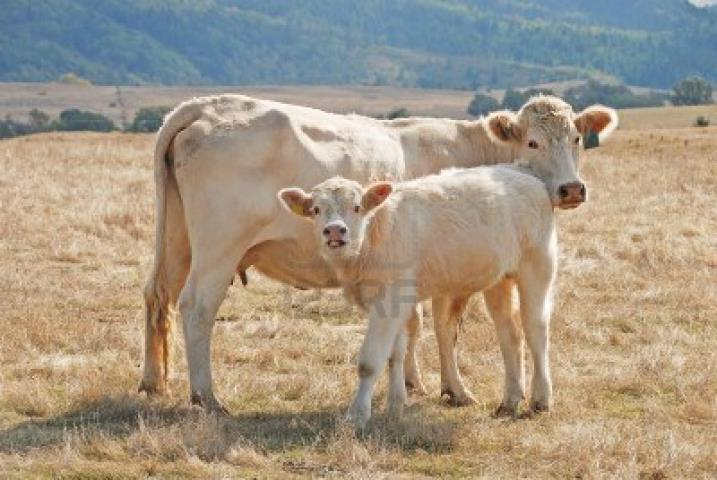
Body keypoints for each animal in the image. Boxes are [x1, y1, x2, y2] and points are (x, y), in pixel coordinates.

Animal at [140, 94, 616, 412]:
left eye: (577, 138)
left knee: (157, 296)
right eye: (533, 142)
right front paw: (452, 388)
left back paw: (153, 382)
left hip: (177, 241)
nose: (571, 190)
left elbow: (415, 327)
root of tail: (205, 106)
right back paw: (206, 396)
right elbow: (441, 325)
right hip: (218, 250)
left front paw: (413, 385)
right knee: (197, 307)